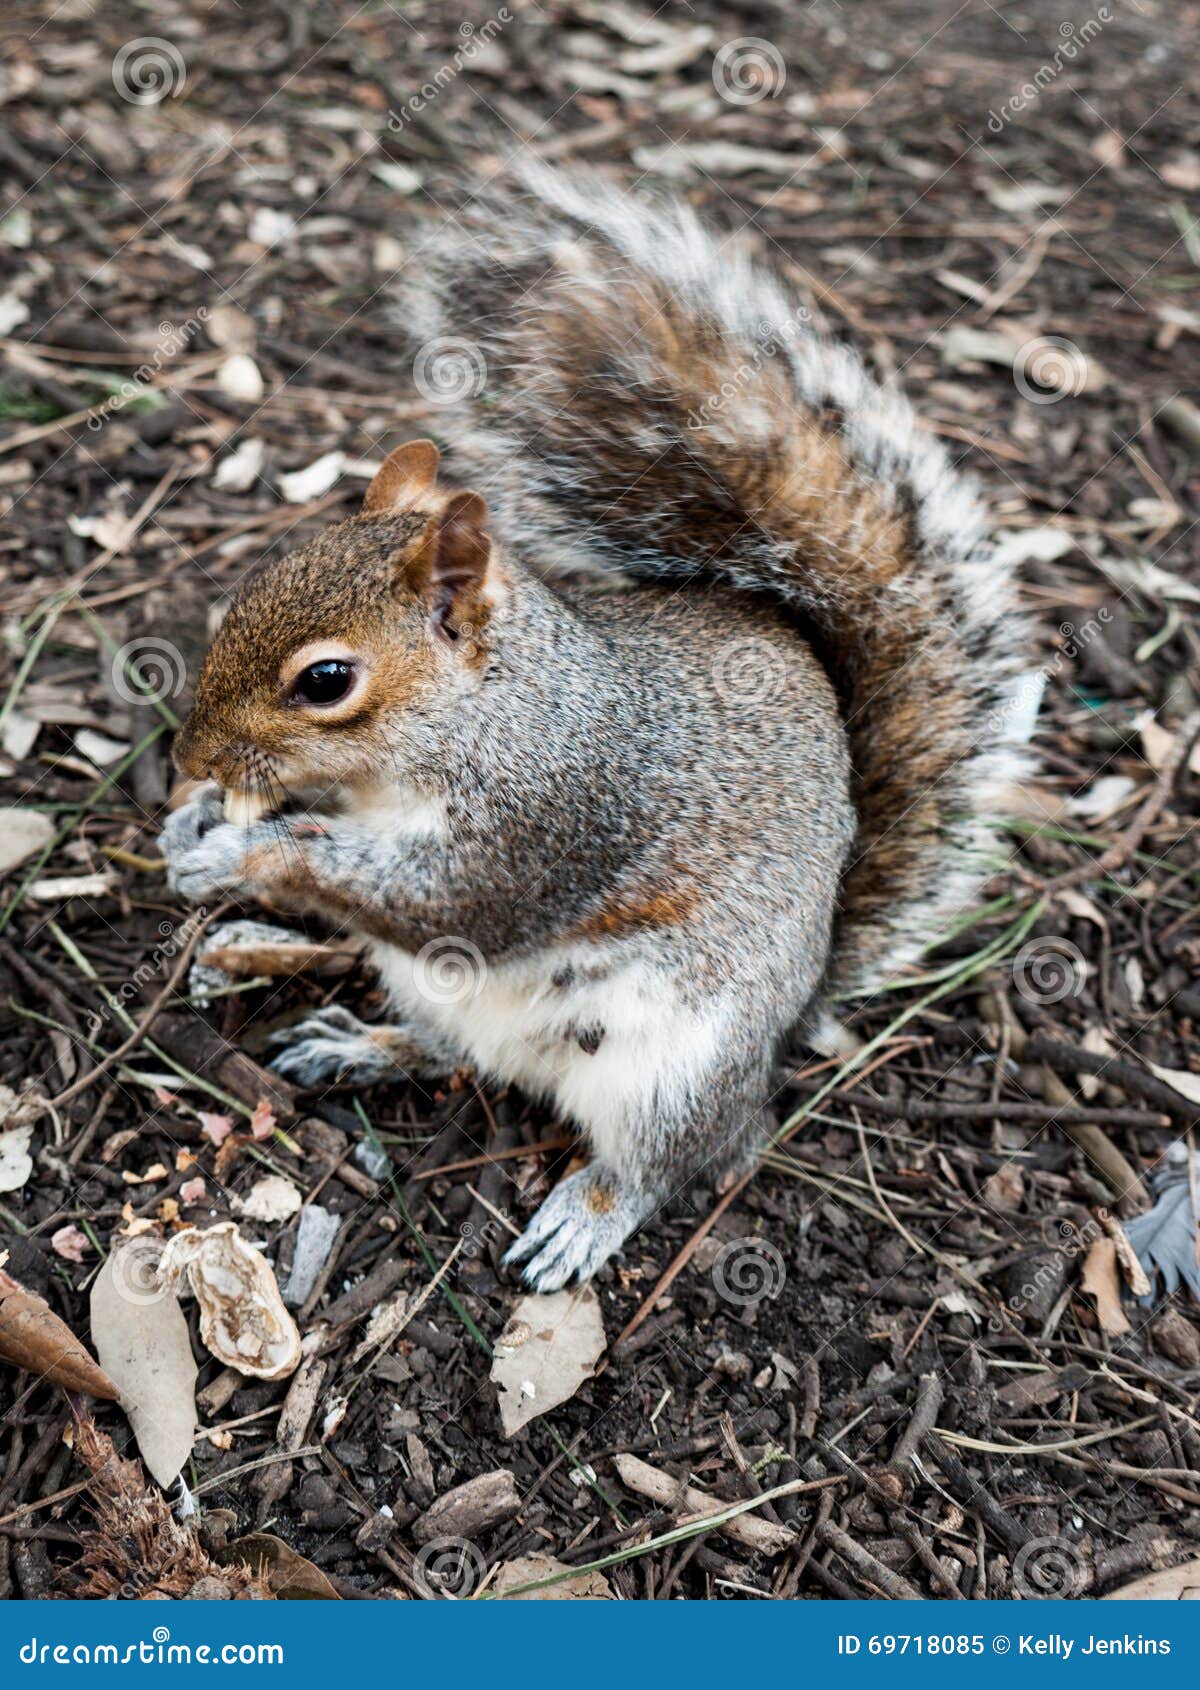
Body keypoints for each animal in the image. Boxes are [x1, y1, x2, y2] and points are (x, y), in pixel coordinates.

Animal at [162, 166, 1028, 1291]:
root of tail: (793, 1018)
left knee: (677, 1159)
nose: (188, 757)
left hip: (678, 1070)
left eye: (327, 680)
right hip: (437, 996)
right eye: (248, 591)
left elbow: (442, 898)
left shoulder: (553, 817)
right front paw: (193, 830)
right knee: (456, 1054)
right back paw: (362, 1045)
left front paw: (243, 855)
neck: (475, 718)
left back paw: (586, 1214)